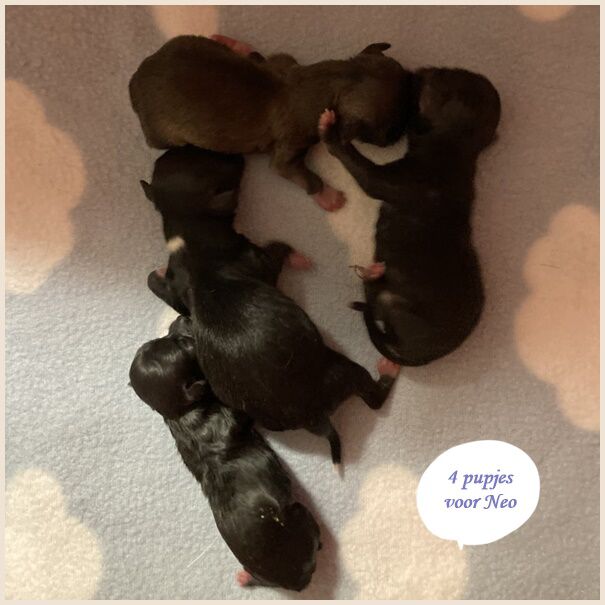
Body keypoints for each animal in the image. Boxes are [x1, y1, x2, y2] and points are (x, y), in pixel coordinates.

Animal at [129, 35, 414, 211]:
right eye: (389, 130)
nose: (400, 135)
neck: (335, 80)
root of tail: (134, 82)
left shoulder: (284, 61)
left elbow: (265, 58)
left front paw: (243, 49)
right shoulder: (289, 149)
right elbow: (300, 174)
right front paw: (327, 195)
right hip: (165, 136)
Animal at [129, 316, 321, 591]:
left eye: (167, 338)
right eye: (182, 343)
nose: (182, 318)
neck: (178, 411)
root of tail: (295, 582)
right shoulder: (228, 416)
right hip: (300, 517)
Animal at [140, 145, 400, 462]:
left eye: (190, 153)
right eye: (220, 168)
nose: (235, 155)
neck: (187, 233)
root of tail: (314, 418)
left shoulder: (177, 286)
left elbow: (161, 288)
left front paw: (155, 274)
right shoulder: (256, 258)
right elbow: (277, 250)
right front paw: (298, 258)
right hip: (341, 370)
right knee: (372, 397)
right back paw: (388, 367)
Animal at [319, 67, 501, 365]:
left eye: (443, 74)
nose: (417, 70)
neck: (457, 146)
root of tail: (422, 354)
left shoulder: (389, 180)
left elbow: (359, 166)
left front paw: (330, 131)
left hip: (395, 305)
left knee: (377, 305)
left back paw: (372, 275)